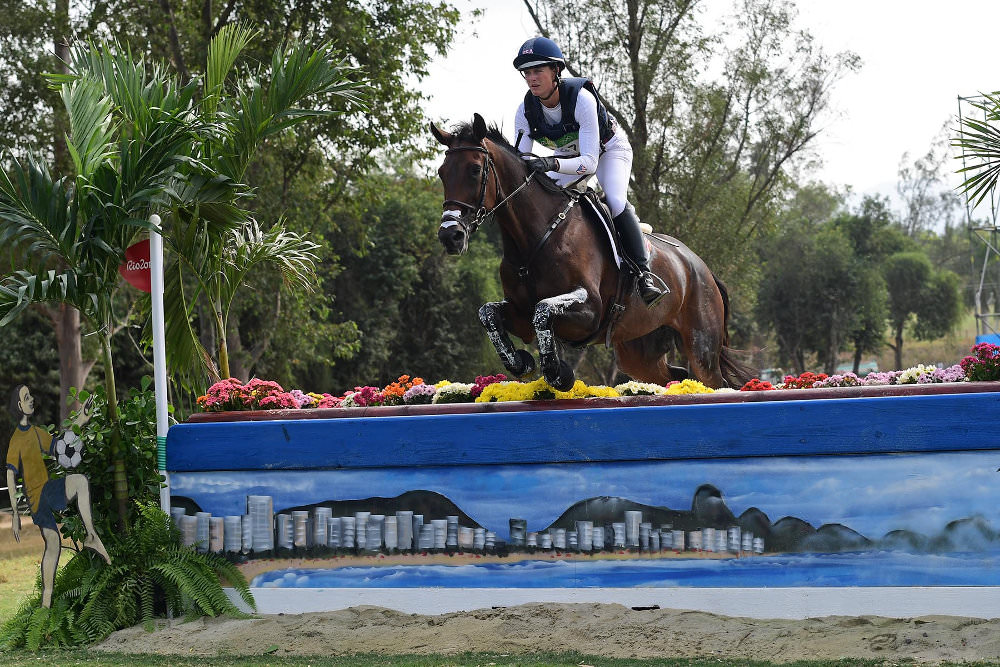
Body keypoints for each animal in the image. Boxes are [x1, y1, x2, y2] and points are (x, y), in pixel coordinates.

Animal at [428, 115, 752, 392]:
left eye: (475, 170)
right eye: (442, 173)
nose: (450, 236)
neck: (535, 238)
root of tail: (701, 268)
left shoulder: (590, 312)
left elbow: (543, 311)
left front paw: (558, 374)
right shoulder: (518, 311)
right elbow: (489, 314)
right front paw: (521, 362)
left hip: (701, 346)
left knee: (713, 381)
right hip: (638, 351)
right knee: (674, 375)